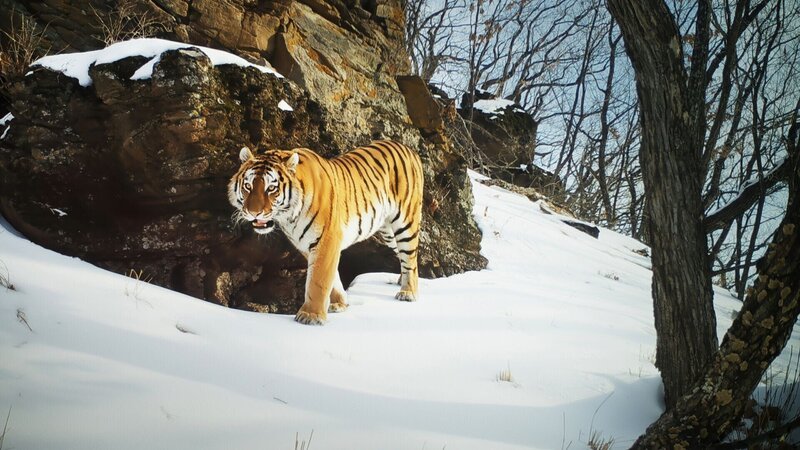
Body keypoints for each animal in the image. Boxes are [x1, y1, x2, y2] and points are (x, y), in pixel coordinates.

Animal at [228, 140, 424, 325]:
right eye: (248, 186)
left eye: (271, 188)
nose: (253, 212)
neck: (289, 218)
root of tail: (407, 148)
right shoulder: (307, 245)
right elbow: (332, 277)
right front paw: (339, 304)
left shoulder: (326, 240)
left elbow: (318, 281)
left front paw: (311, 316)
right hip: (388, 231)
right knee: (403, 256)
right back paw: (400, 281)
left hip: (405, 222)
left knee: (411, 259)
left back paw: (408, 292)